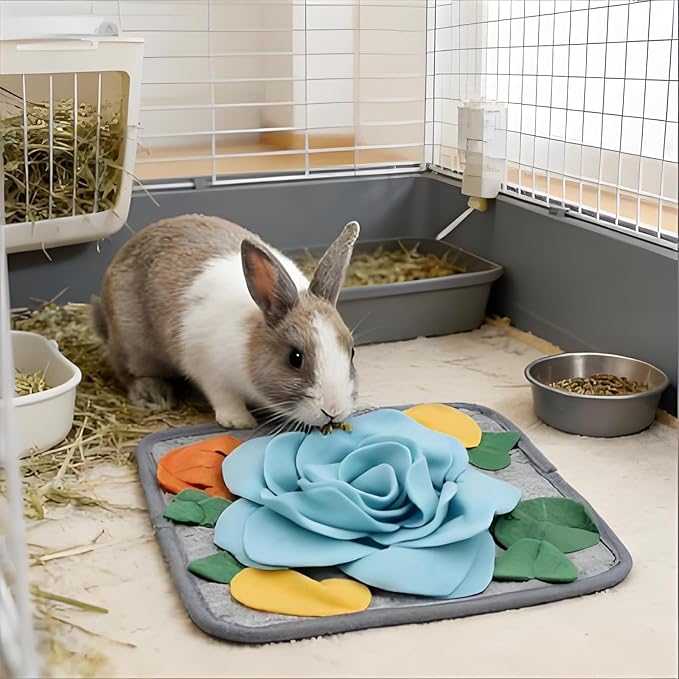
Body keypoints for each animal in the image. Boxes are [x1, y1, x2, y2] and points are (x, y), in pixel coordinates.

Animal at [91, 214, 360, 431]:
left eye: (352, 352)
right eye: (295, 358)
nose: (333, 411)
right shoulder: (208, 369)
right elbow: (224, 397)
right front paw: (238, 421)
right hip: (133, 347)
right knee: (130, 373)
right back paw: (154, 396)